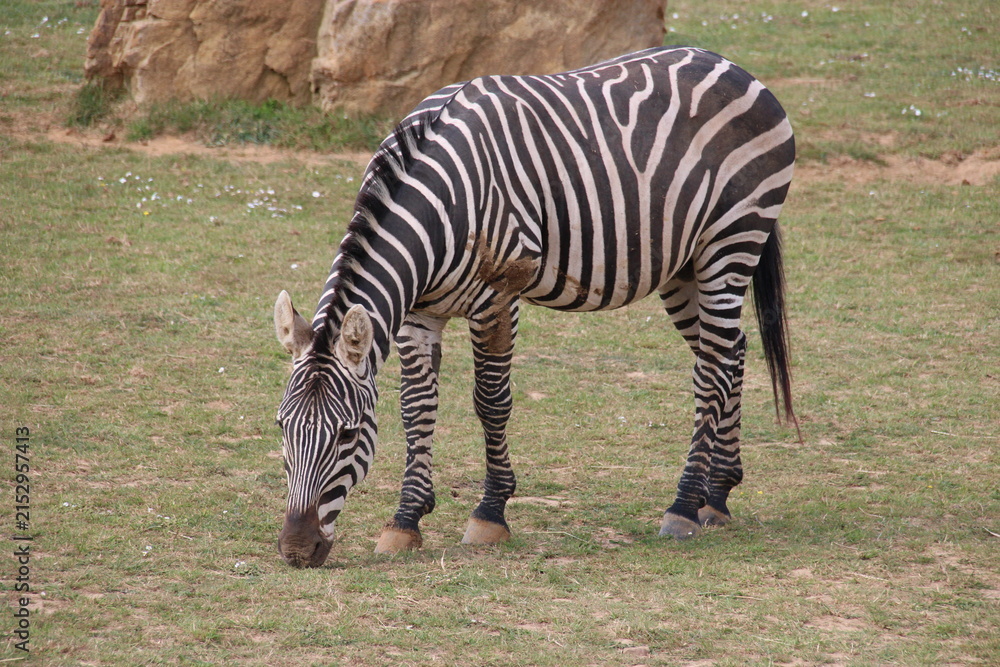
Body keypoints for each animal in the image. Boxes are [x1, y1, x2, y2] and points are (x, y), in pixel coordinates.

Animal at [272, 46, 797, 568]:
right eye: (281, 426)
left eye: (348, 435)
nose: (297, 550)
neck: (440, 211)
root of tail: (730, 64)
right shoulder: (419, 314)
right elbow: (416, 408)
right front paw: (405, 521)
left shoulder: (497, 299)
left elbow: (491, 402)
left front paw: (490, 514)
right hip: (683, 266)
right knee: (731, 351)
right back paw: (718, 495)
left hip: (730, 242)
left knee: (711, 369)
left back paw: (684, 506)